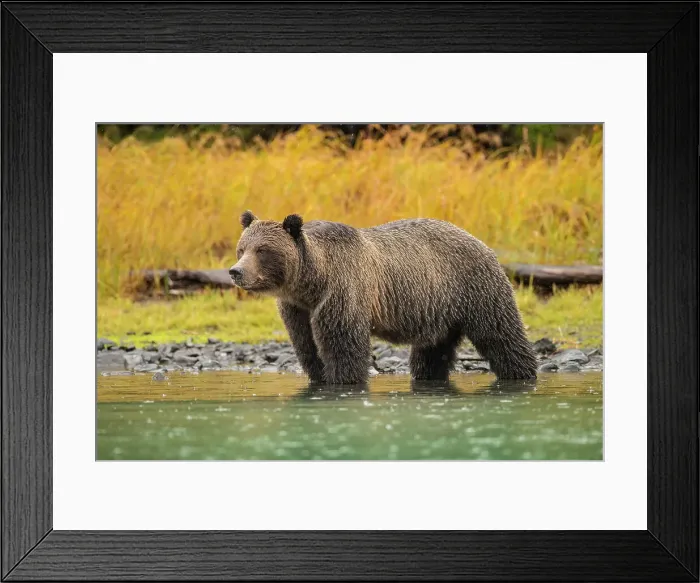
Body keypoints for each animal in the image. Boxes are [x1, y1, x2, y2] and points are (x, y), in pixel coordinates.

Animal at [229, 210, 537, 385]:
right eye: (242, 248)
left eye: (262, 250)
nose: (236, 272)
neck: (312, 282)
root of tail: (480, 241)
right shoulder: (298, 308)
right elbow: (307, 346)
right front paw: (319, 377)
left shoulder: (343, 291)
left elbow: (343, 345)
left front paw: (343, 380)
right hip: (438, 309)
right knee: (433, 351)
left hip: (475, 287)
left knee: (500, 334)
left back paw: (522, 373)